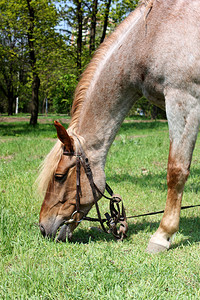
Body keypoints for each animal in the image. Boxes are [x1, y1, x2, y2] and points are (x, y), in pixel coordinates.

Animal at [38, 0, 200, 253]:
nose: (43, 227)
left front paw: (162, 234)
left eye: (59, 176)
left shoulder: (183, 100)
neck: (152, 35)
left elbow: (176, 171)